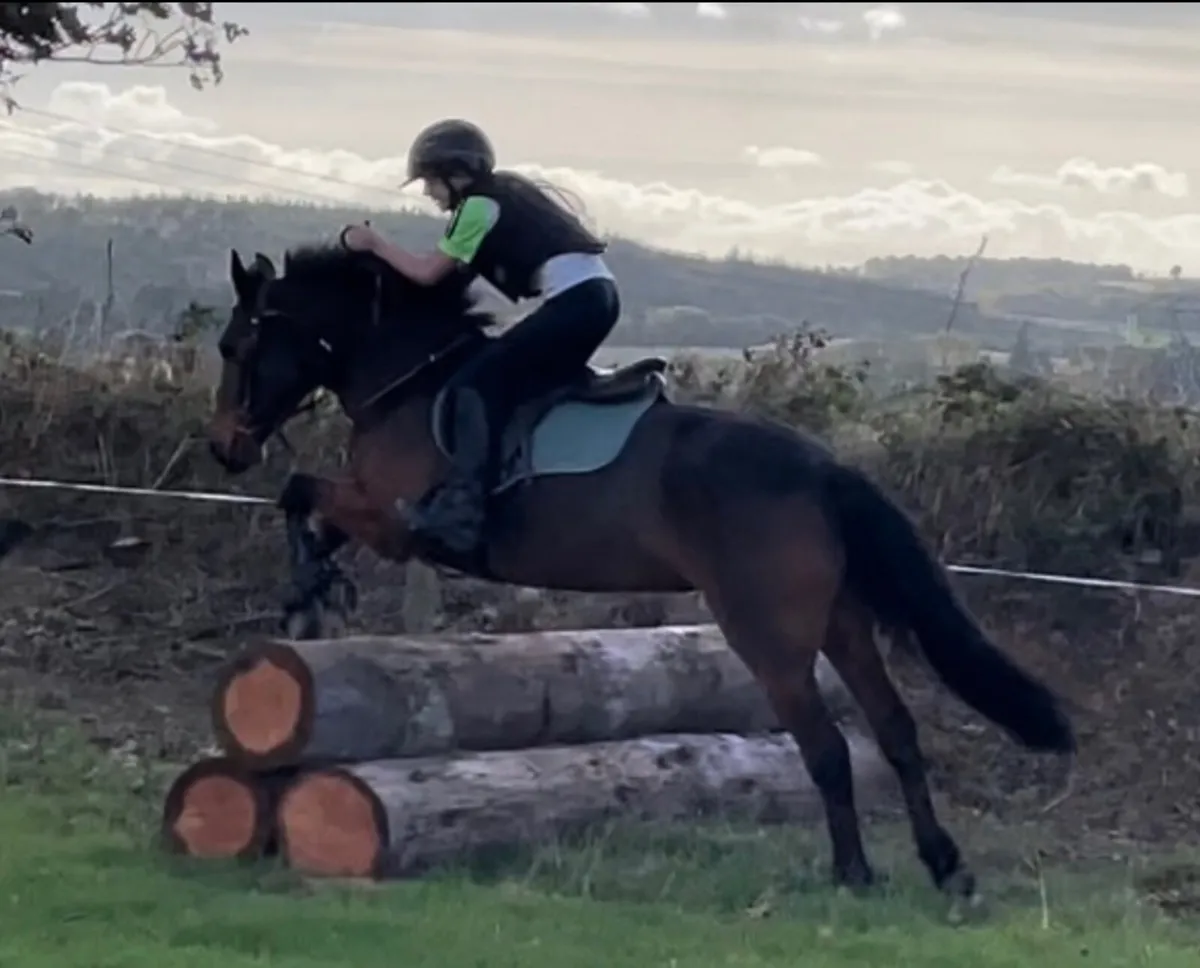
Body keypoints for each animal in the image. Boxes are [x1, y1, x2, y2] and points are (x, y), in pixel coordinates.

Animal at [207, 242, 1075, 907]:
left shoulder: (394, 523)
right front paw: (313, 591)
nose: (226, 448)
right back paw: (946, 868)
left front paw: (308, 591)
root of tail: (823, 468)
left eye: (235, 348)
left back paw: (854, 873)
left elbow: (301, 493)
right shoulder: (378, 515)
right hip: (841, 622)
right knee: (895, 732)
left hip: (768, 635)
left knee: (827, 746)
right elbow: (311, 509)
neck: (410, 379)